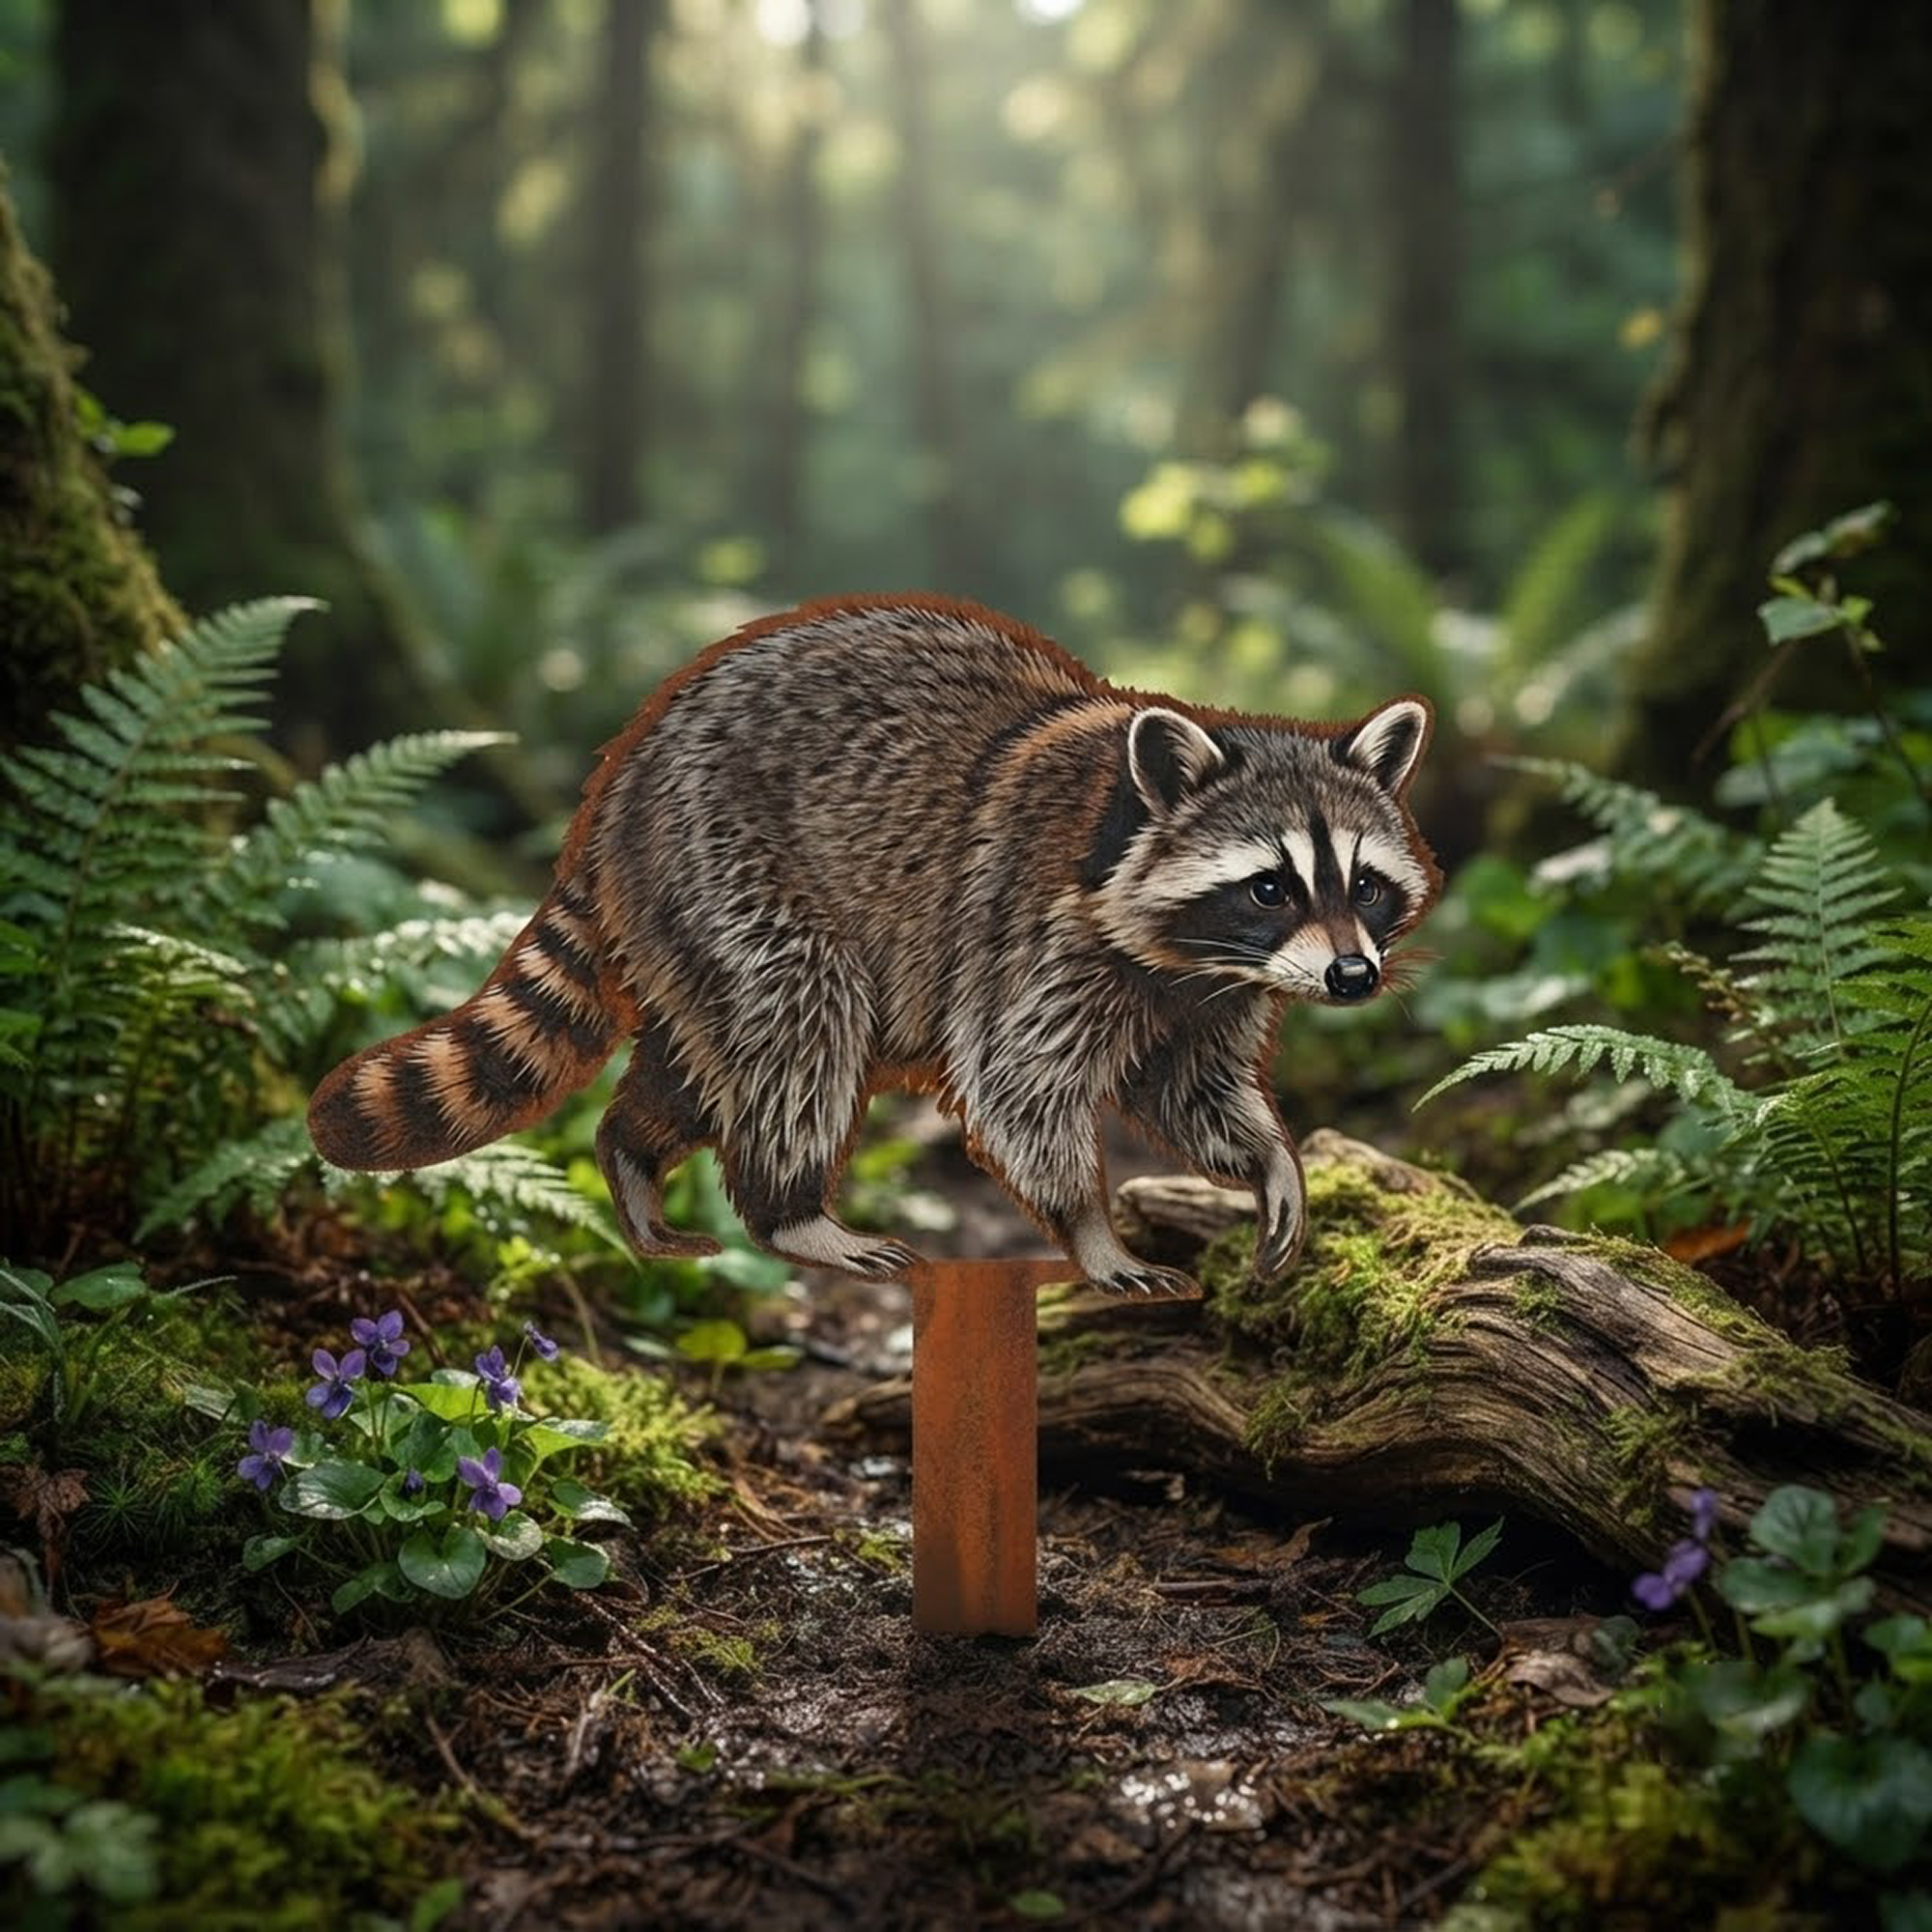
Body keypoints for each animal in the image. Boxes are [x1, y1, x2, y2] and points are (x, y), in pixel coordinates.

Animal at [309, 595, 1439, 1297]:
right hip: (725, 861)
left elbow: (1191, 1088)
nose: (1352, 976)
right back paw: (788, 1209)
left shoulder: (1208, 991)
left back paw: (632, 1150)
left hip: (686, 913)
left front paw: (1266, 1160)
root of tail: (620, 776)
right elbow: (1016, 1084)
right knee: (797, 1023)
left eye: (1364, 885)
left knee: (704, 1057)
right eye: (1269, 885)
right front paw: (1086, 1227)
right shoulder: (1032, 928)